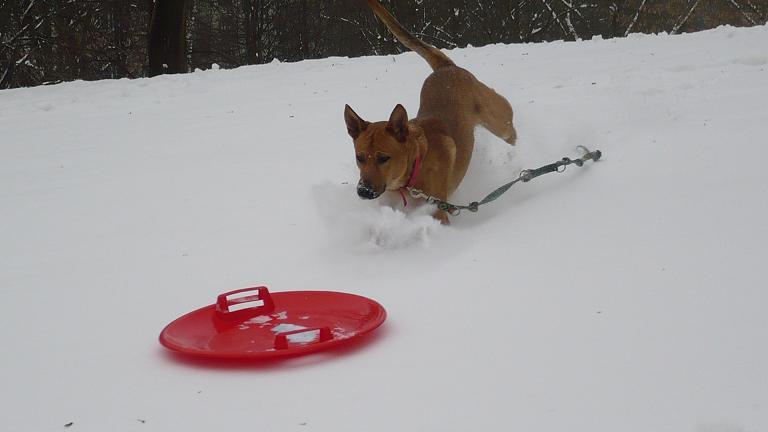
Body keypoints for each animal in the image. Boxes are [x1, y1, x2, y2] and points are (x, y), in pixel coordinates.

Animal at [346, 0, 516, 223]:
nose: (363, 191)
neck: (412, 171)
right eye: (360, 157)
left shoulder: (437, 211)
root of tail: (445, 68)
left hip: (496, 116)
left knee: (507, 120)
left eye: (384, 158)